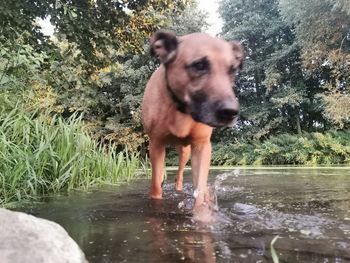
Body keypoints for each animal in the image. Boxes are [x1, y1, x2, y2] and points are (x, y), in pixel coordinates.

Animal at [140, 31, 243, 219]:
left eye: (233, 70)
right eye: (199, 65)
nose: (231, 111)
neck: (181, 110)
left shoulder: (202, 146)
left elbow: (200, 190)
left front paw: (202, 215)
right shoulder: (156, 144)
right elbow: (156, 187)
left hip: (185, 152)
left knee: (180, 175)